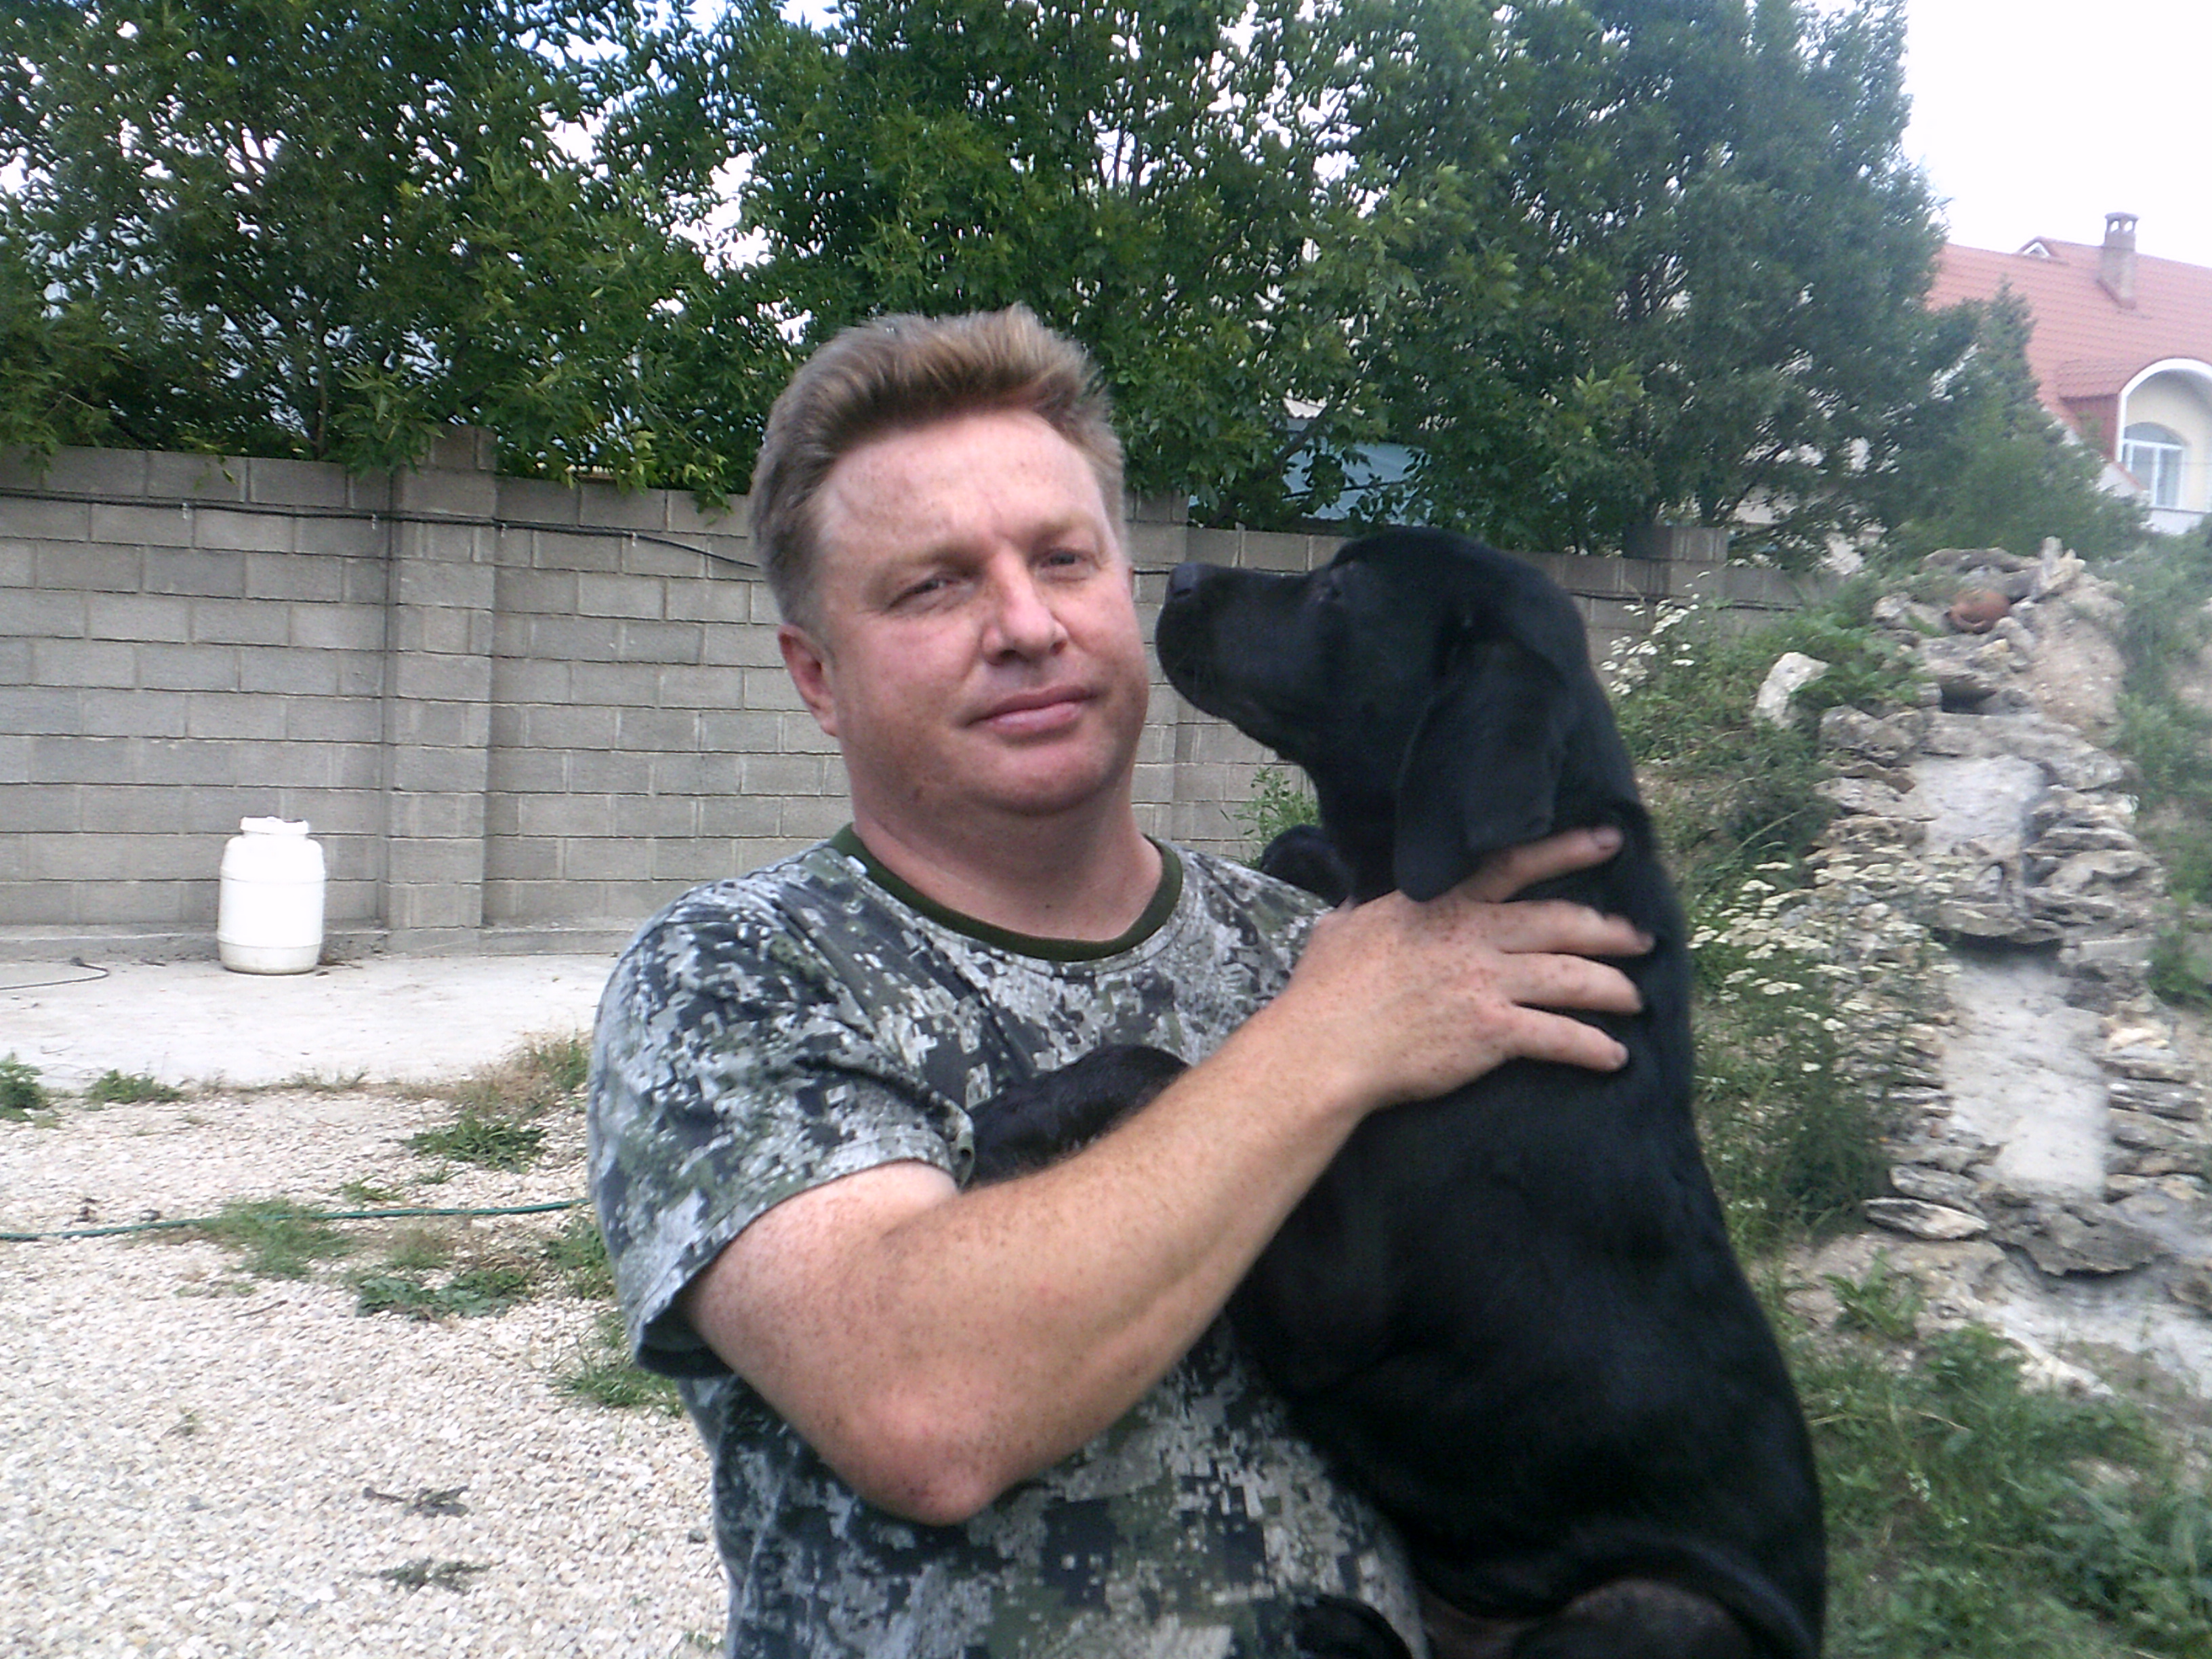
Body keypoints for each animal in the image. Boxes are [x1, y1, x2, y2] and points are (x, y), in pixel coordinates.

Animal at [971, 528, 1824, 1659]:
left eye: (1340, 590)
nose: (1182, 577)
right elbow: (1306, 866)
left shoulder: (1322, 1305)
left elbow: (1160, 1067)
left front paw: (1024, 1114)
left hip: (1657, 1608)